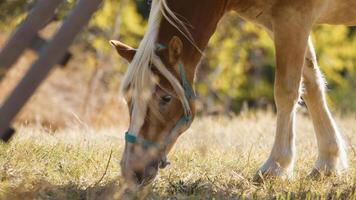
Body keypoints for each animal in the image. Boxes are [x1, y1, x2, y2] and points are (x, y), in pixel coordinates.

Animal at [110, 0, 354, 187]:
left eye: (165, 98)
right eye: (128, 98)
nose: (131, 170)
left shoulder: (293, 18)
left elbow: (285, 91)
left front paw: (275, 167)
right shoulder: (277, 24)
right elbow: (311, 85)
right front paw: (328, 161)